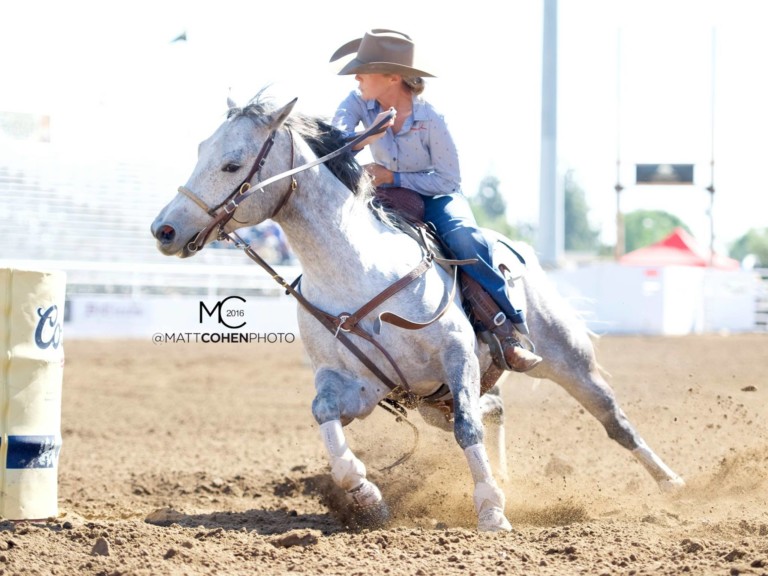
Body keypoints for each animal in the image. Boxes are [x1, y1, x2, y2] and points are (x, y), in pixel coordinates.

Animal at [150, 92, 685, 532]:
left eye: (231, 163)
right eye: (201, 150)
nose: (163, 230)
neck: (357, 268)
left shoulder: (457, 355)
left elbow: (467, 428)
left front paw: (491, 510)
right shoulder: (355, 383)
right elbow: (324, 415)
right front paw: (367, 496)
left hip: (566, 359)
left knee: (613, 420)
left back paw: (672, 484)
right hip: (431, 402)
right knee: (494, 409)